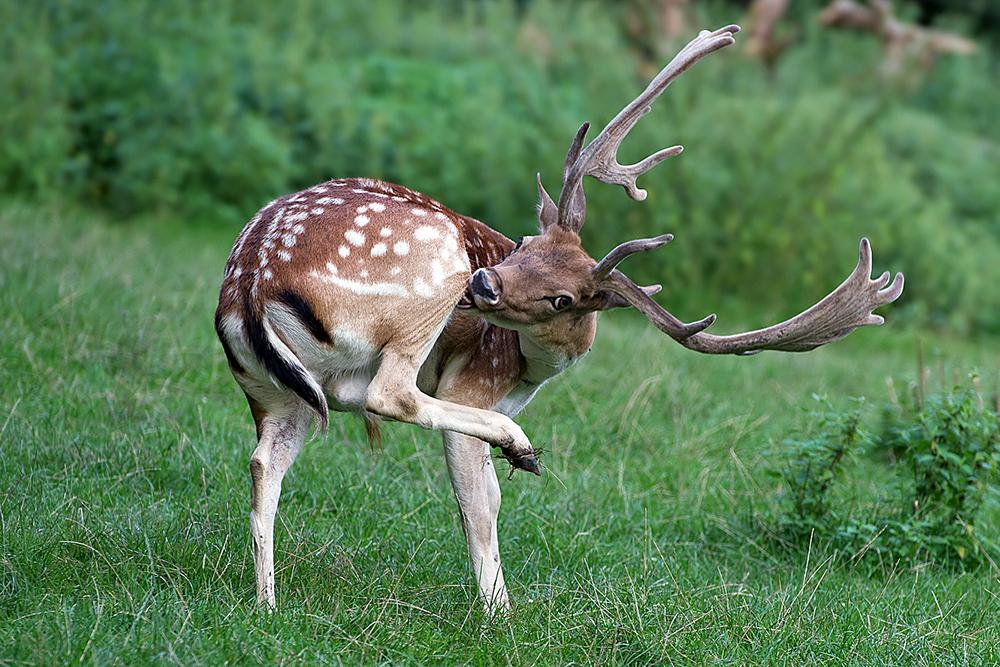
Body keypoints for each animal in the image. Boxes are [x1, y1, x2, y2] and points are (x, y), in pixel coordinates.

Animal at [215, 23, 904, 612]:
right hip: (425, 275)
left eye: (564, 298)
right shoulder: (472, 383)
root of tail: (252, 282)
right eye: (524, 242)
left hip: (274, 391)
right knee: (386, 394)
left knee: (263, 462)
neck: (530, 372)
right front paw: (500, 613)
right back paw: (518, 448)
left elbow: (484, 494)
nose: (484, 282)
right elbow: (480, 502)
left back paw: (267, 603)